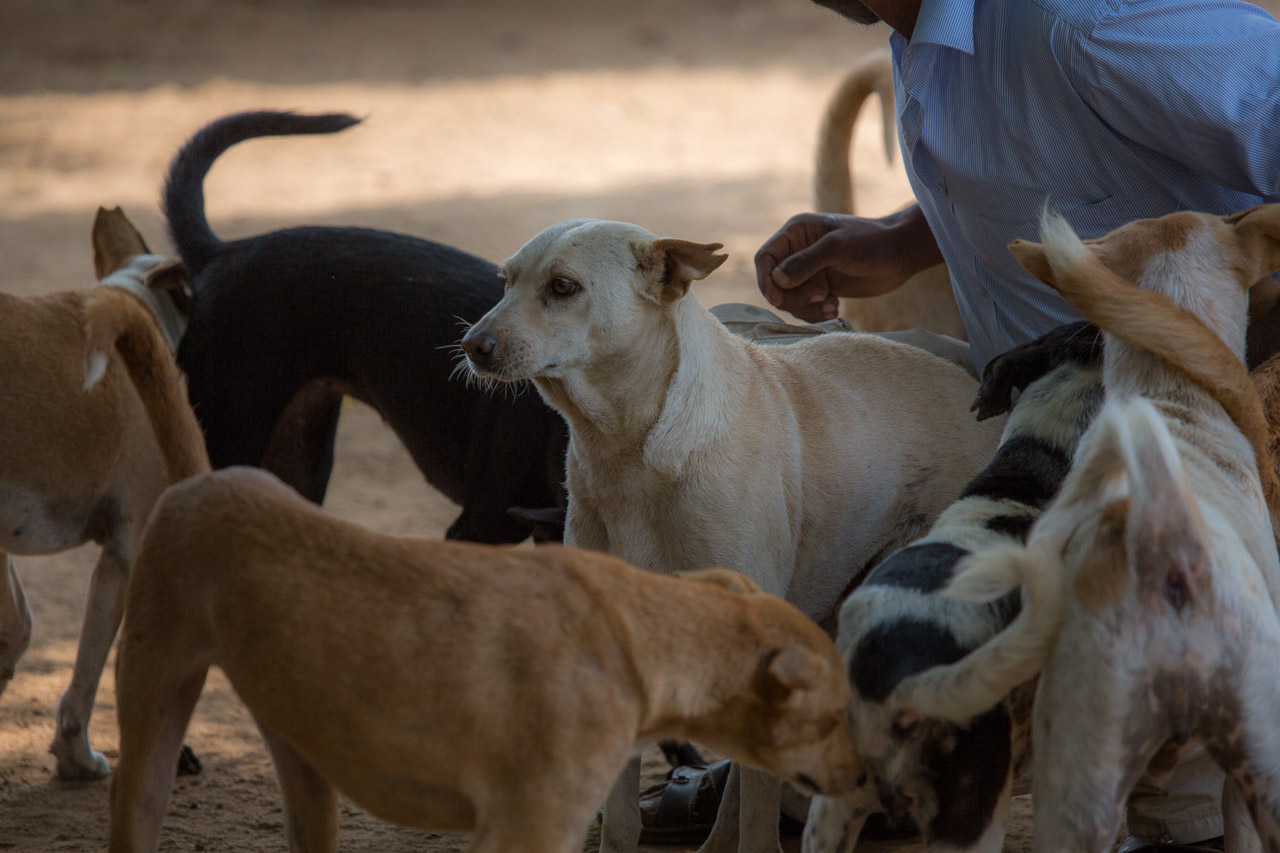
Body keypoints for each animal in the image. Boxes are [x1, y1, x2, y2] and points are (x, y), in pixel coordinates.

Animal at [459, 218, 1006, 852]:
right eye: (506, 281)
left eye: (564, 286)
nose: (472, 346)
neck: (627, 454)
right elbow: (620, 814)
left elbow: (760, 805)